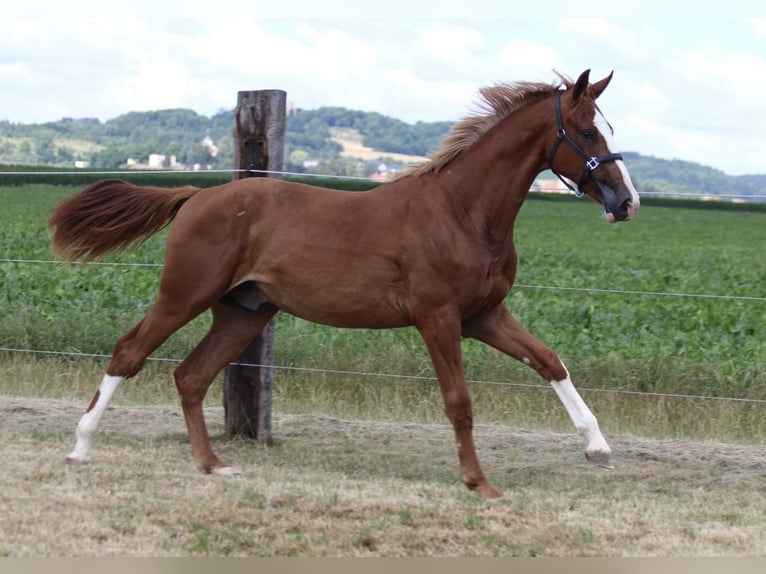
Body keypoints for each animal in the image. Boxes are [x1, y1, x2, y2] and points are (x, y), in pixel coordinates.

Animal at [49, 69, 639, 499]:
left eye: (607, 129)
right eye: (587, 131)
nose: (626, 202)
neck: (461, 211)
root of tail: (194, 196)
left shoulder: (483, 315)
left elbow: (549, 361)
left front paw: (598, 447)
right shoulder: (438, 317)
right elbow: (459, 400)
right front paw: (479, 483)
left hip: (244, 311)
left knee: (191, 376)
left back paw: (213, 465)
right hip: (184, 294)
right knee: (129, 352)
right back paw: (80, 449)